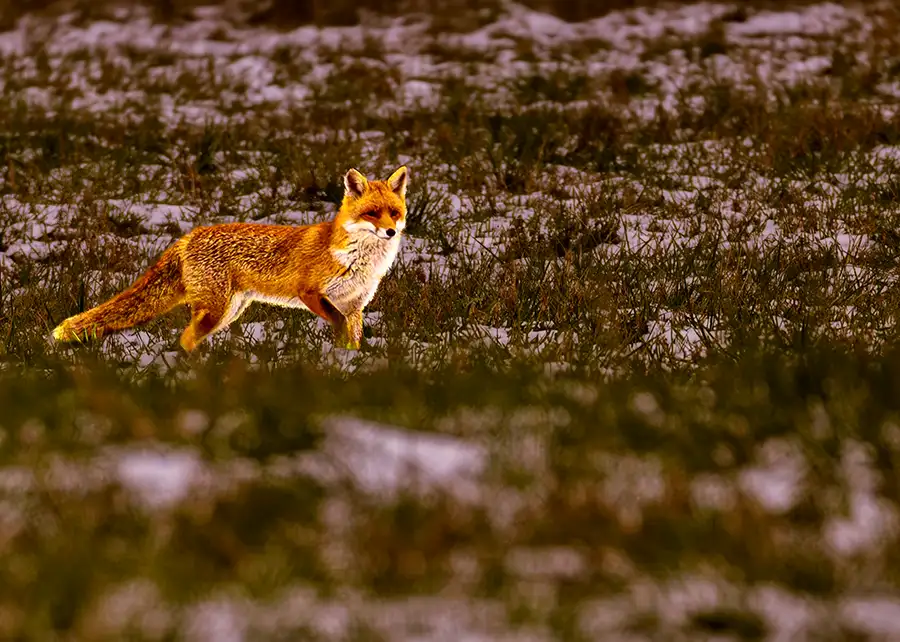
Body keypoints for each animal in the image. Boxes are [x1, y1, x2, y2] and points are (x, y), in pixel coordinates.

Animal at [51, 166, 409, 353]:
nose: (391, 231)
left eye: (394, 212)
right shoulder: (311, 293)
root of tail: (188, 236)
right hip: (216, 311)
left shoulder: (354, 306)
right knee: (185, 339)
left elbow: (352, 338)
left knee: (187, 339)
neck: (360, 260)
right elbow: (335, 323)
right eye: (372, 213)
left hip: (229, 311)